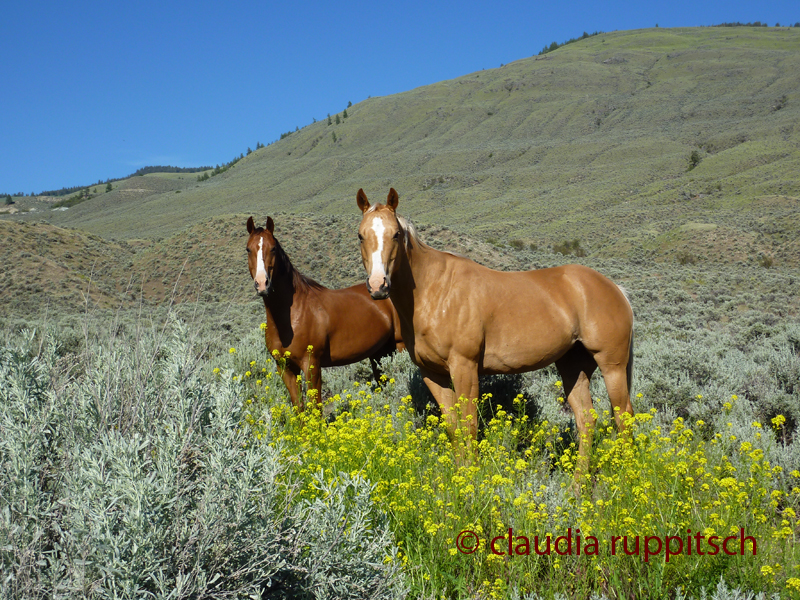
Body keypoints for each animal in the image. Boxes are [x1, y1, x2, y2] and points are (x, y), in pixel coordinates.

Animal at [245, 217, 406, 412]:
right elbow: (299, 407)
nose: (262, 284)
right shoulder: (285, 367)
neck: (292, 317)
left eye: (273, 248)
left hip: (400, 345)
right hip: (379, 352)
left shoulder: (311, 365)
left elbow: (316, 408)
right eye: (248, 249)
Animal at [354, 190, 636, 476]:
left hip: (611, 366)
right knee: (586, 419)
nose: (378, 286)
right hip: (573, 365)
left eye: (396, 234)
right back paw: (578, 484)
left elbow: (469, 427)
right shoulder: (432, 374)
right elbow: (454, 429)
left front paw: (473, 479)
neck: (435, 291)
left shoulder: (465, 368)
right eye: (361, 235)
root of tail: (613, 287)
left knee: (623, 416)